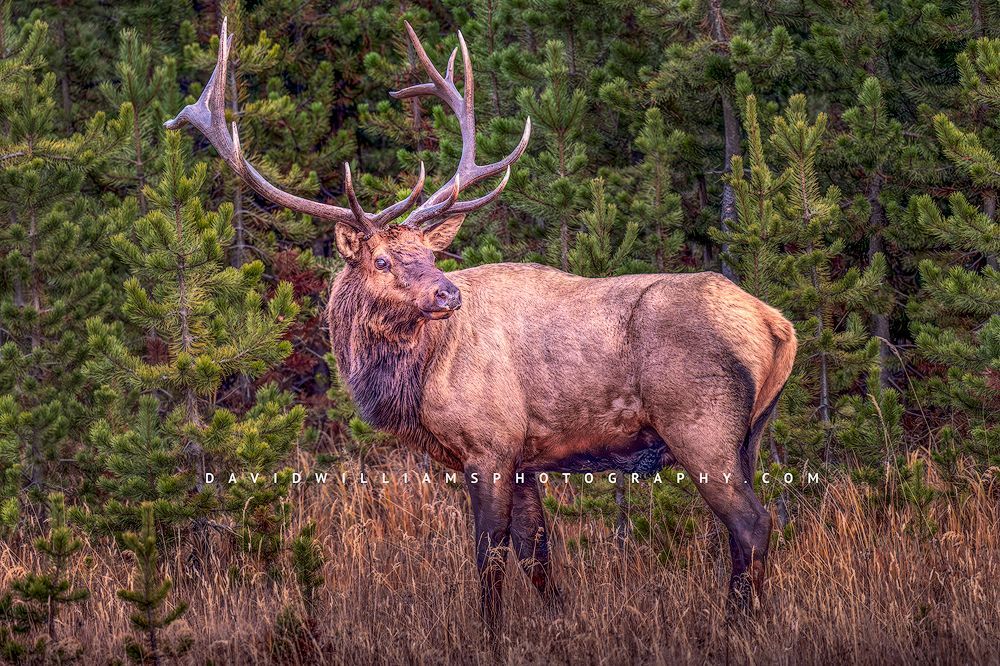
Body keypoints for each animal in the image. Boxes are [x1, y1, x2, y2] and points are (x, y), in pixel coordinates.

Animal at [166, 18, 798, 641]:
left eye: (427, 252)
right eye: (383, 261)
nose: (448, 293)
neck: (416, 381)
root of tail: (777, 324)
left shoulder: (489, 444)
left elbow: (489, 554)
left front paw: (491, 634)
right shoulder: (524, 455)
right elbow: (536, 552)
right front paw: (560, 623)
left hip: (700, 424)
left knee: (752, 523)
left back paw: (738, 626)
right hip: (750, 433)